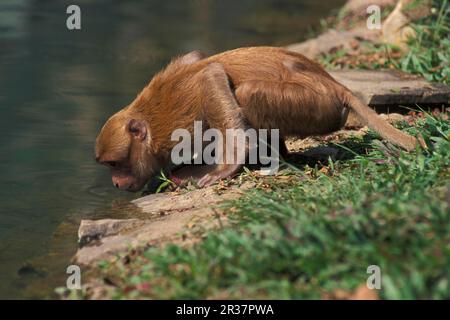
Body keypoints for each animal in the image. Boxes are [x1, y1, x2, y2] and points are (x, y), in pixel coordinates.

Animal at [96, 45, 422, 190]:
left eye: (114, 164)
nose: (115, 183)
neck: (151, 120)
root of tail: (335, 85)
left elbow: (212, 75)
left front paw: (224, 169)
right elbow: (197, 58)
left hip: (315, 104)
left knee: (247, 93)